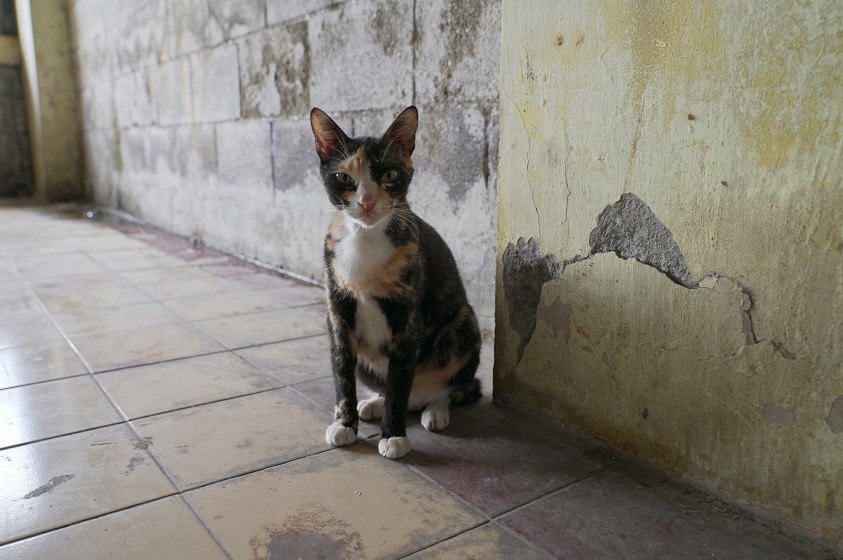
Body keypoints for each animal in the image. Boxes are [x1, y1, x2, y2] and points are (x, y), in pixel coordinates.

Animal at [310, 105, 482, 460]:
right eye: (344, 178)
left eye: (389, 175)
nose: (366, 201)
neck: (365, 239)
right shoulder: (337, 313)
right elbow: (341, 372)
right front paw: (344, 424)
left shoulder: (407, 320)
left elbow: (400, 380)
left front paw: (394, 436)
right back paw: (373, 402)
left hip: (464, 323)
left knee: (449, 386)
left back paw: (435, 410)